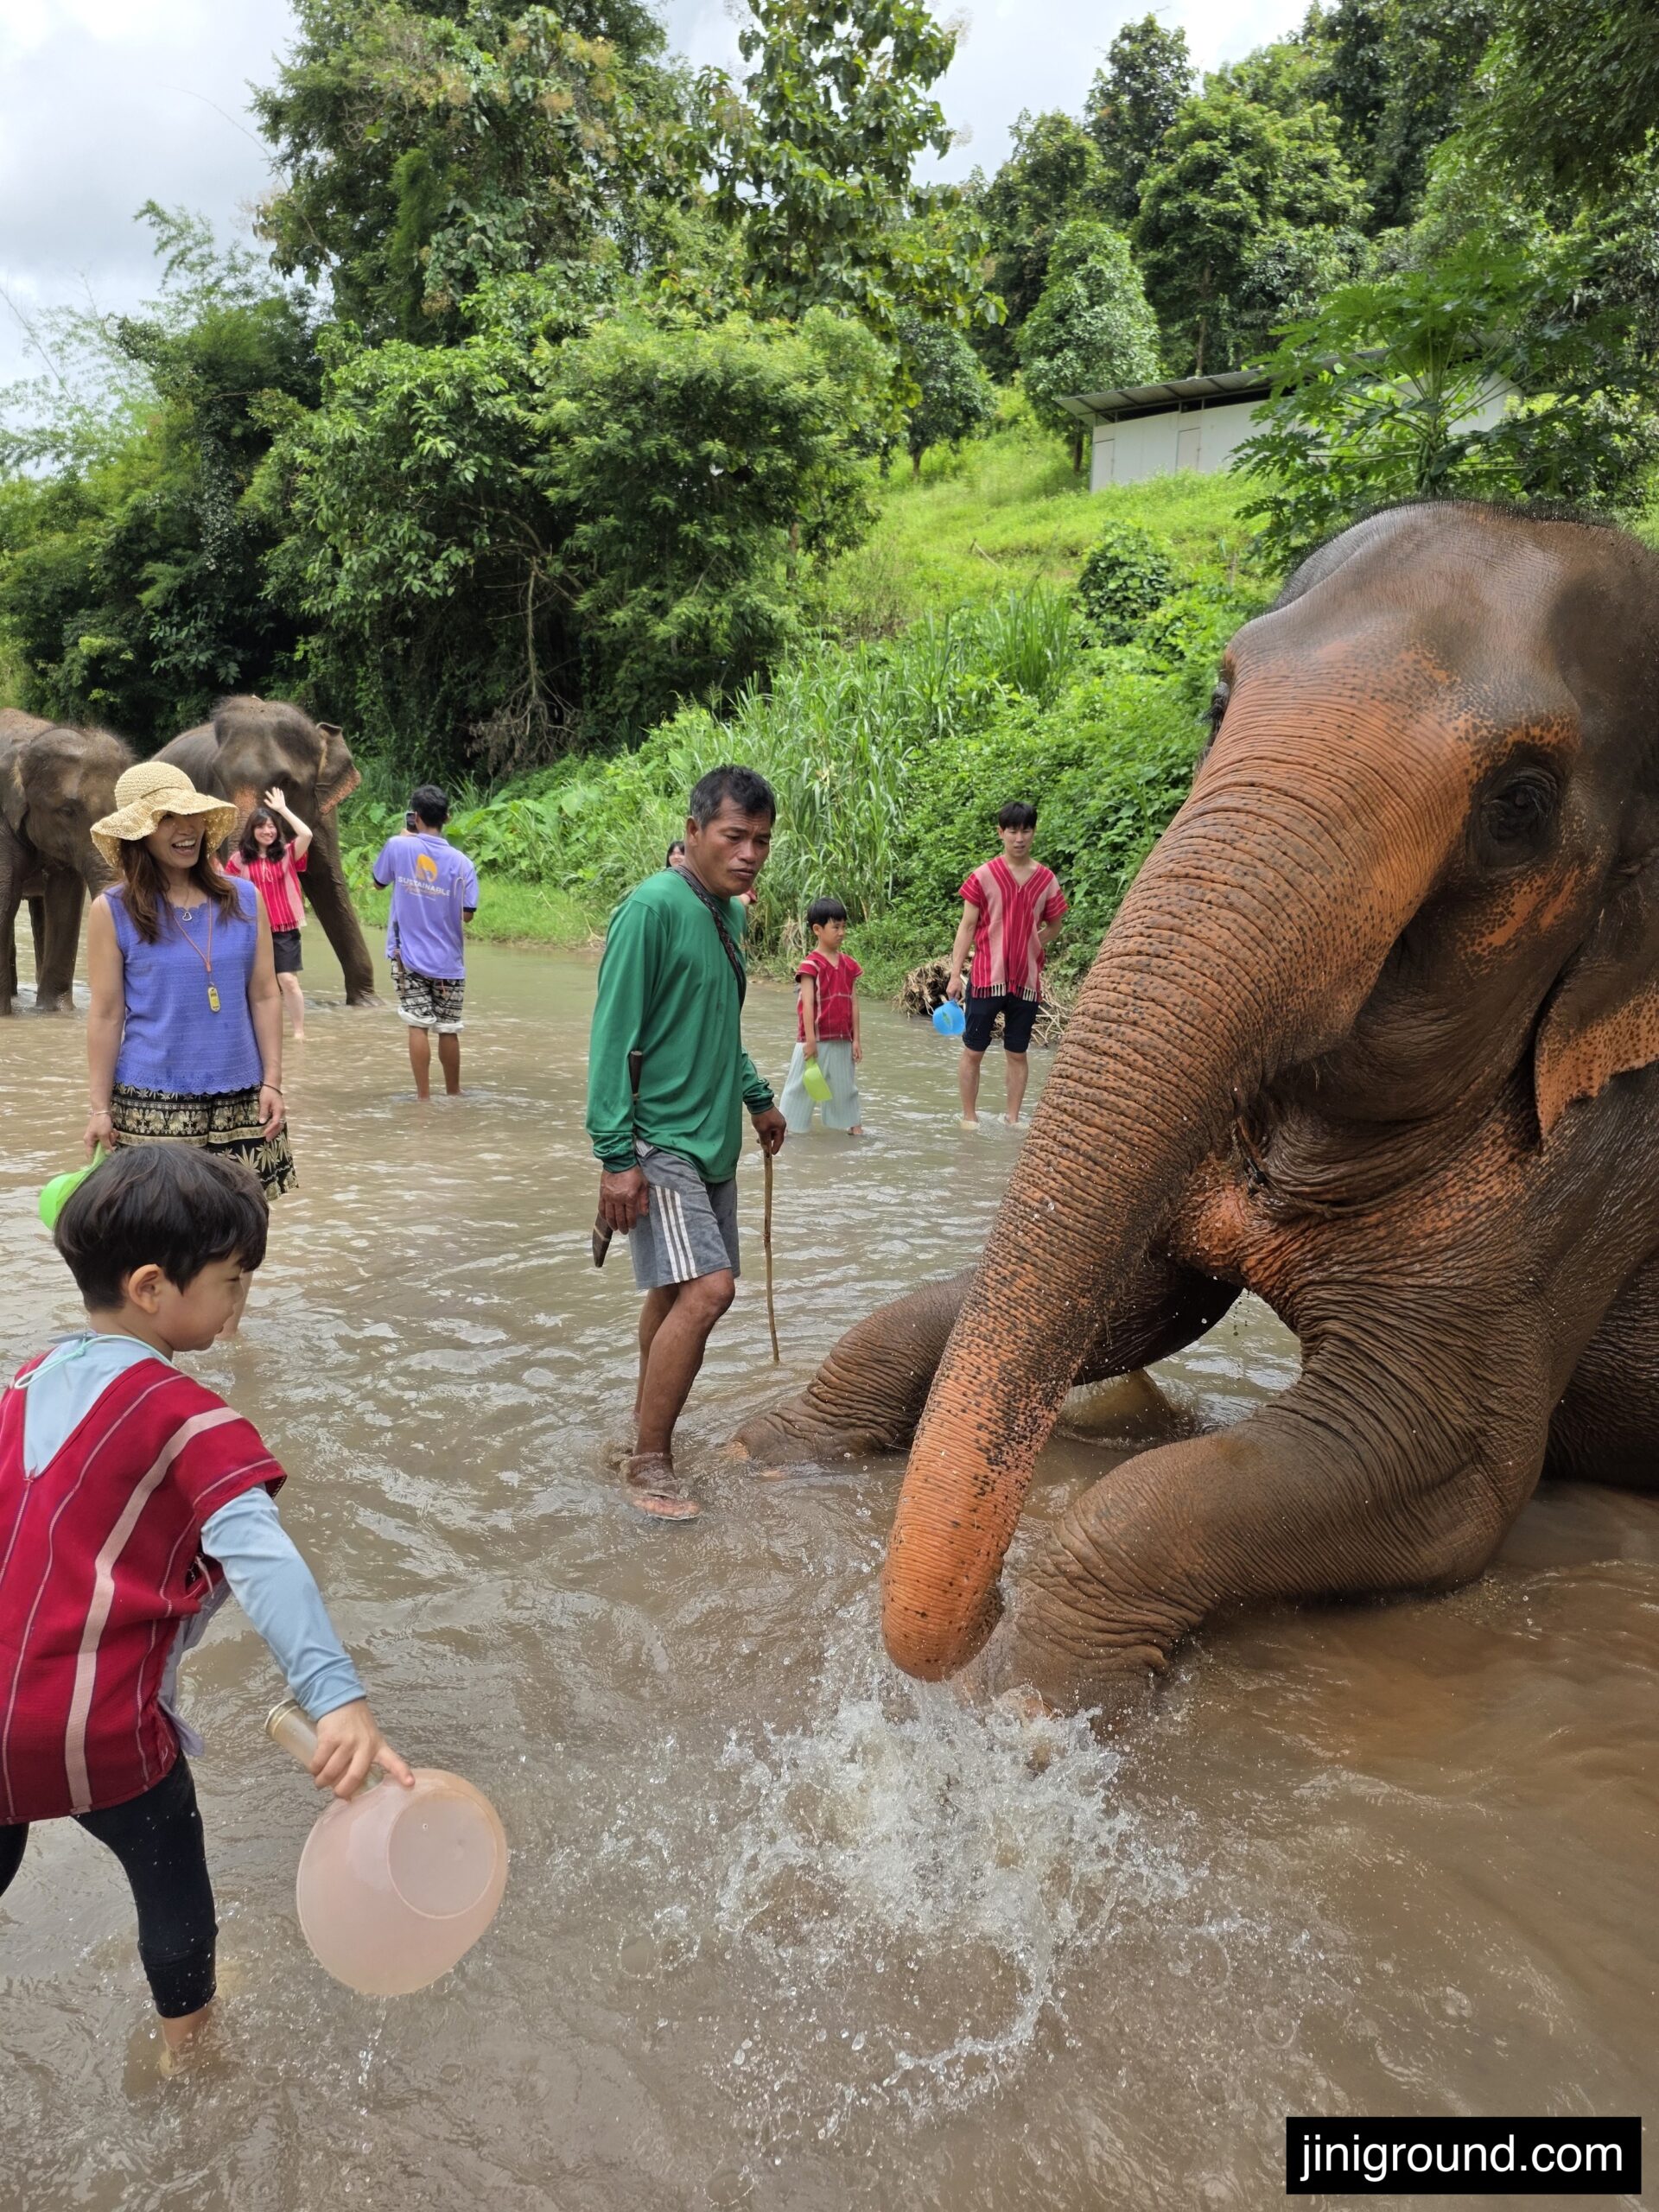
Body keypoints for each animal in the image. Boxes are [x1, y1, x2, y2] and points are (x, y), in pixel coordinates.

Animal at [734, 501, 1659, 1715]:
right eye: (1220, 703)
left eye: (1521, 805)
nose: (983, 1605)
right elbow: (1131, 1298)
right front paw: (753, 1450)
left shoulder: (1591, 1177)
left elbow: (1441, 1460)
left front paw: (1031, 1693)